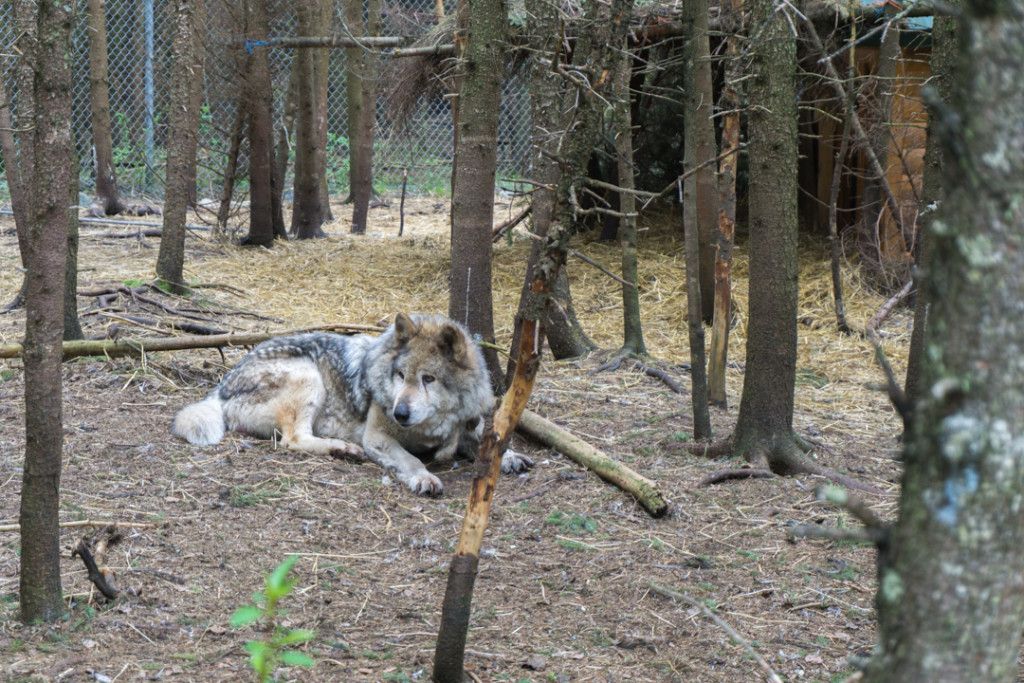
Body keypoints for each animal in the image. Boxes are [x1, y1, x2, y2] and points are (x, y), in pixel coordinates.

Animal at [172, 313, 532, 493]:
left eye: (428, 379)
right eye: (400, 375)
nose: (400, 412)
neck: (430, 426)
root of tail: (222, 384)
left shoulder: (464, 426)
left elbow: (487, 439)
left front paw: (511, 457)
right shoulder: (378, 437)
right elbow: (411, 459)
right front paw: (425, 478)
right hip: (309, 378)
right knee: (293, 440)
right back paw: (341, 449)